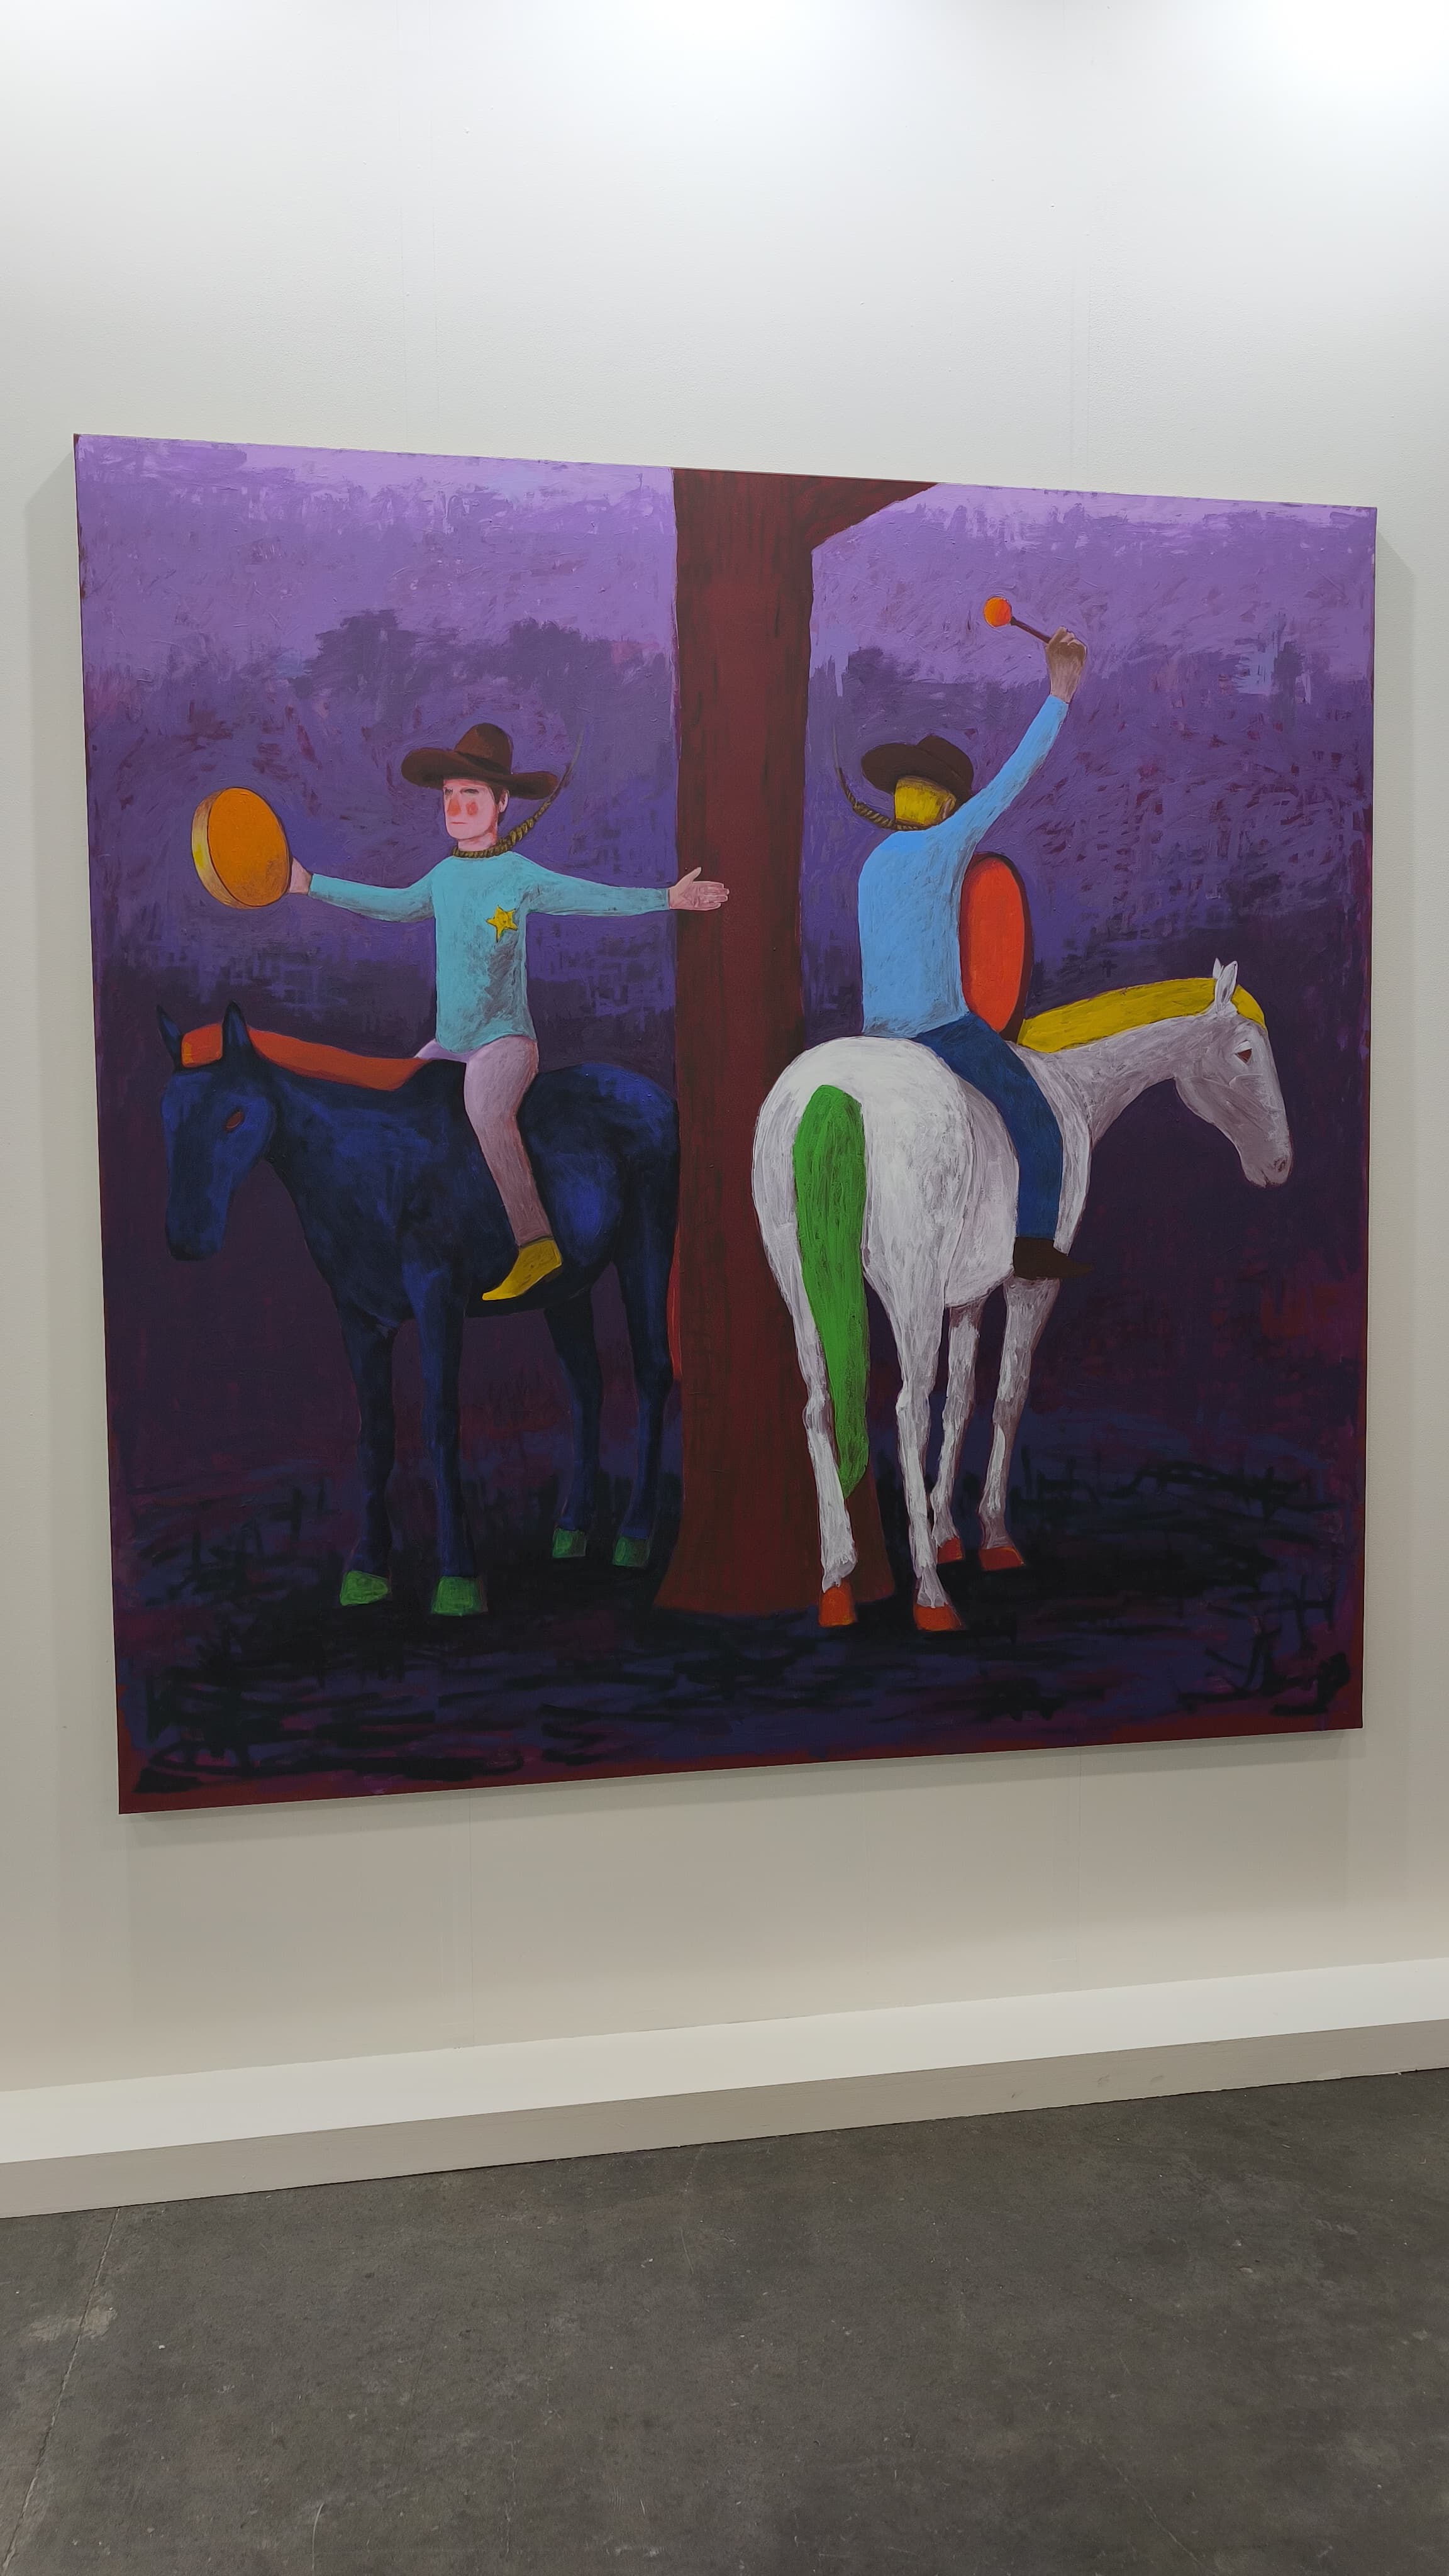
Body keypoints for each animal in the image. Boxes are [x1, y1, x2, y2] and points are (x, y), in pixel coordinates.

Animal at [156, 1003, 678, 1615]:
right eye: (167, 1117)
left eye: (234, 1117)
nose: (187, 1238)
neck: (371, 1162)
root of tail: (653, 1094)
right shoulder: (360, 1317)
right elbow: (376, 1435)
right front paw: (366, 1570)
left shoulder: (438, 1301)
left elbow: (440, 1424)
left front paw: (457, 1578)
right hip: (567, 1287)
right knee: (587, 1386)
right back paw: (571, 1530)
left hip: (645, 1247)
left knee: (651, 1373)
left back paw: (634, 1536)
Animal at [751, 962, 1293, 1631]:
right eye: (1245, 1052)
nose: (1280, 1164)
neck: (1070, 1086)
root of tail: (833, 1089)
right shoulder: (1031, 1286)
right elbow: (1007, 1397)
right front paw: (993, 1538)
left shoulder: (968, 1298)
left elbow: (960, 1401)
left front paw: (948, 1534)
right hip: (910, 1291)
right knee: (907, 1413)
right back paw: (930, 1596)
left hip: (800, 1283)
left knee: (820, 1407)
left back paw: (837, 1580)